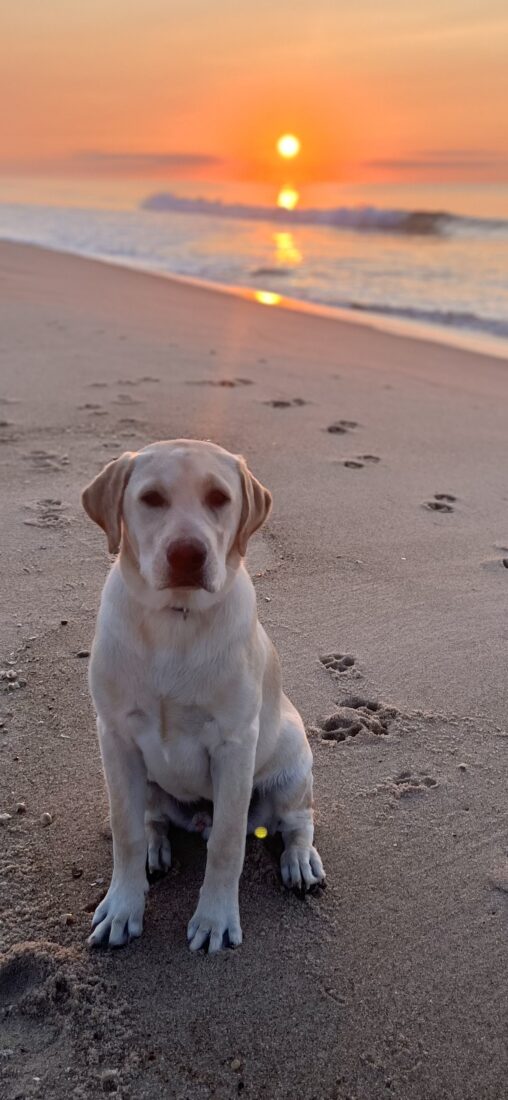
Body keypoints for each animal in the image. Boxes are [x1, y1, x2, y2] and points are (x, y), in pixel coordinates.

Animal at [81, 440, 323, 954]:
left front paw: (214, 919)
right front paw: (123, 908)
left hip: (292, 762)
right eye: (151, 499)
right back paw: (156, 848)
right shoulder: (115, 737)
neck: (176, 621)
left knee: (297, 820)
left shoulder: (233, 744)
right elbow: (125, 832)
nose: (187, 554)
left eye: (219, 498)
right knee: (151, 819)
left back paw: (300, 861)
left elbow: (228, 842)